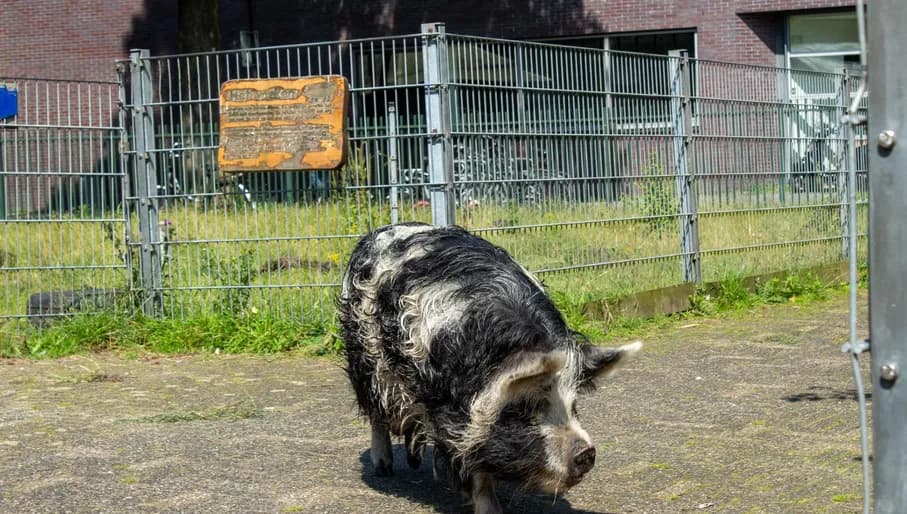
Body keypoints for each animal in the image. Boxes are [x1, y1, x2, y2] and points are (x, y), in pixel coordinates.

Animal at [338, 222, 641, 513]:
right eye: (524, 408)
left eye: (573, 405)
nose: (586, 453)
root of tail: (382, 230)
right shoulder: (456, 414)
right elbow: (474, 461)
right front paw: (489, 509)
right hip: (365, 357)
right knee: (376, 410)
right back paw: (384, 468)